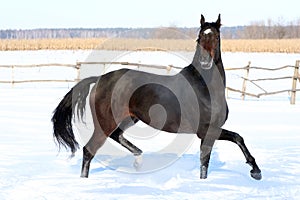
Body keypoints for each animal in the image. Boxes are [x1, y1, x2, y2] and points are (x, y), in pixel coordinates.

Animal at [52, 14, 262, 180]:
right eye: (200, 37)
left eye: (216, 36)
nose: (205, 61)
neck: (205, 88)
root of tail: (100, 79)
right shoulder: (206, 130)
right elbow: (236, 139)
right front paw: (256, 171)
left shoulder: (208, 132)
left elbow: (208, 158)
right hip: (106, 122)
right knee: (89, 150)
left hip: (129, 118)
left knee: (116, 136)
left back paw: (138, 160)